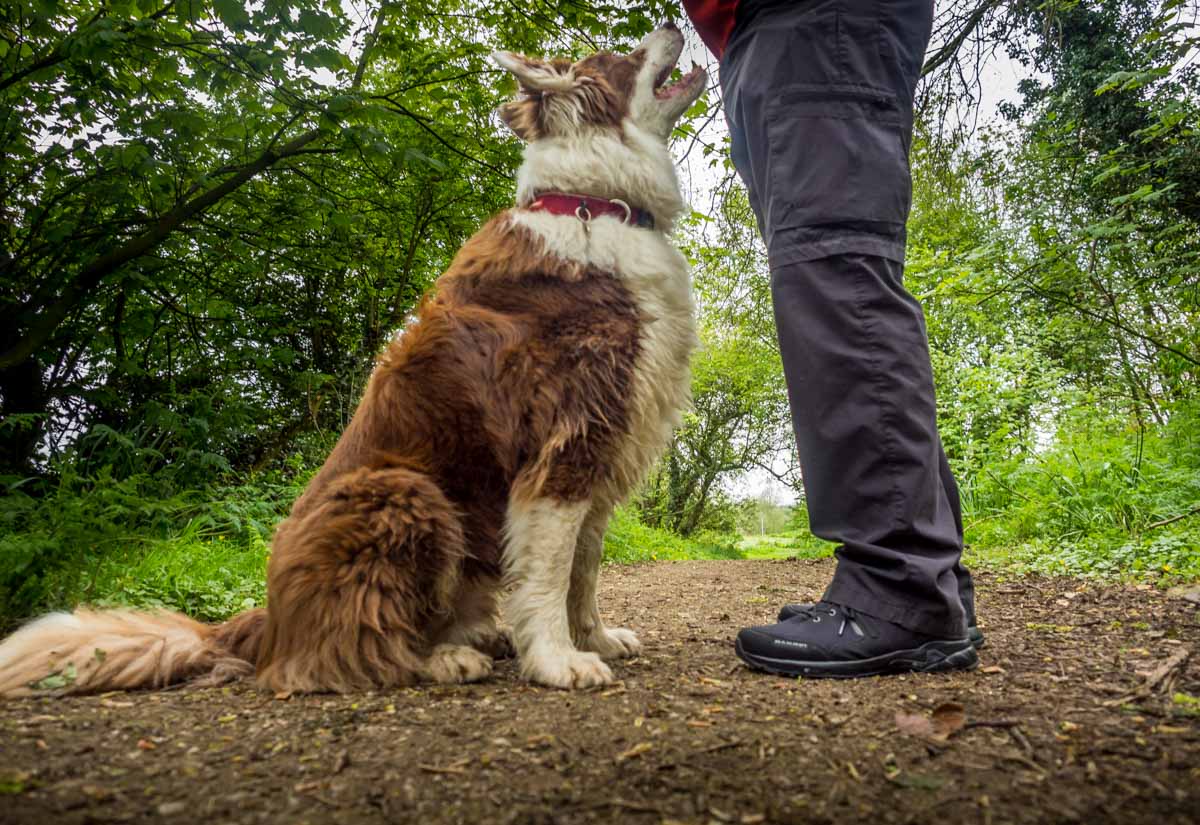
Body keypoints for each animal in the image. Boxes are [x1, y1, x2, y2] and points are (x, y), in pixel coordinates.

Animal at [0, 24, 700, 695]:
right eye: (623, 55)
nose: (673, 19)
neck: (591, 204)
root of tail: (268, 624)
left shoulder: (606, 443)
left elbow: (585, 568)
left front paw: (595, 639)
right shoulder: (564, 441)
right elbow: (549, 573)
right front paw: (558, 661)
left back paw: (479, 637)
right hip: (403, 491)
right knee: (339, 651)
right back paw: (442, 660)